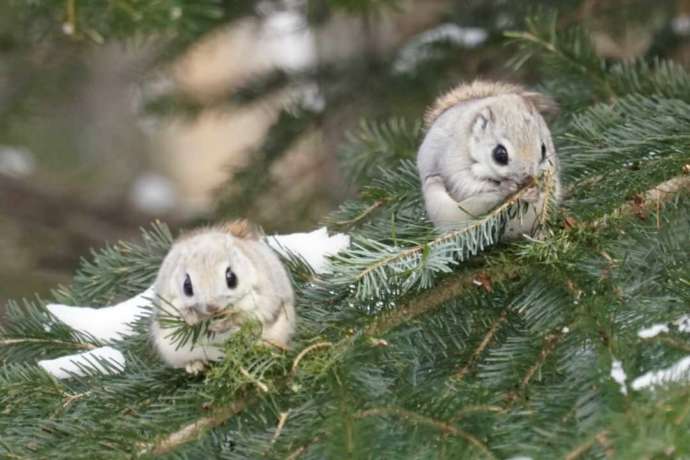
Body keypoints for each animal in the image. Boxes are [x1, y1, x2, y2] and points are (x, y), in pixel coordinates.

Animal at [149, 221, 294, 376]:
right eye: (186, 286)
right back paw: (194, 364)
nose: (212, 307)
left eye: (232, 278)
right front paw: (191, 318)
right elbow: (177, 317)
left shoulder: (264, 296)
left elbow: (248, 317)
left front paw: (223, 324)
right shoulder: (167, 303)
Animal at [414, 80, 560, 237]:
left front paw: (533, 192)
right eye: (500, 154)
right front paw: (505, 187)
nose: (527, 176)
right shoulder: (454, 162)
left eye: (544, 149)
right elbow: (465, 185)